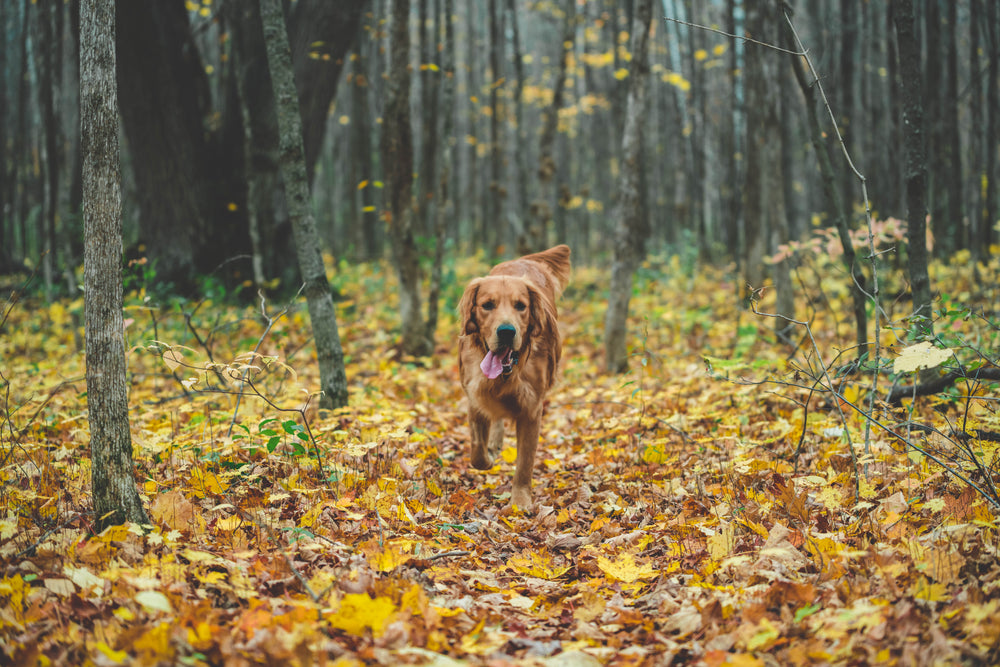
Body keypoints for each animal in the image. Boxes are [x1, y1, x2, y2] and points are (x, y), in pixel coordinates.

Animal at [456, 245, 568, 512]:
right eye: (487, 305)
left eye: (521, 306)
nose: (506, 331)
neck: (506, 375)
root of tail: (524, 259)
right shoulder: (475, 396)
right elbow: (477, 452)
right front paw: (488, 456)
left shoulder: (531, 409)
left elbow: (524, 463)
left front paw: (520, 501)